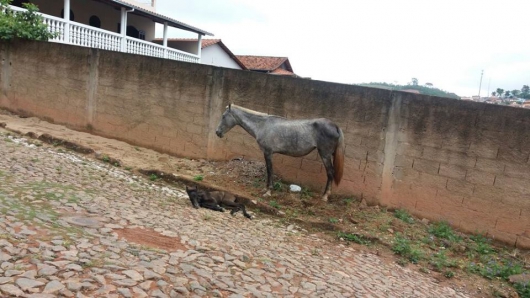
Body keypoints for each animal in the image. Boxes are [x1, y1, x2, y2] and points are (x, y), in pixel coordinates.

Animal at [213, 103, 342, 201]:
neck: (262, 126)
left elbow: (270, 170)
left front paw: (268, 191)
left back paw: (325, 196)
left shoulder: (268, 152)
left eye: (223, 116)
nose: (217, 132)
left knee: (330, 172)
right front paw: (265, 189)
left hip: (325, 154)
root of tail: (335, 126)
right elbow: (268, 170)